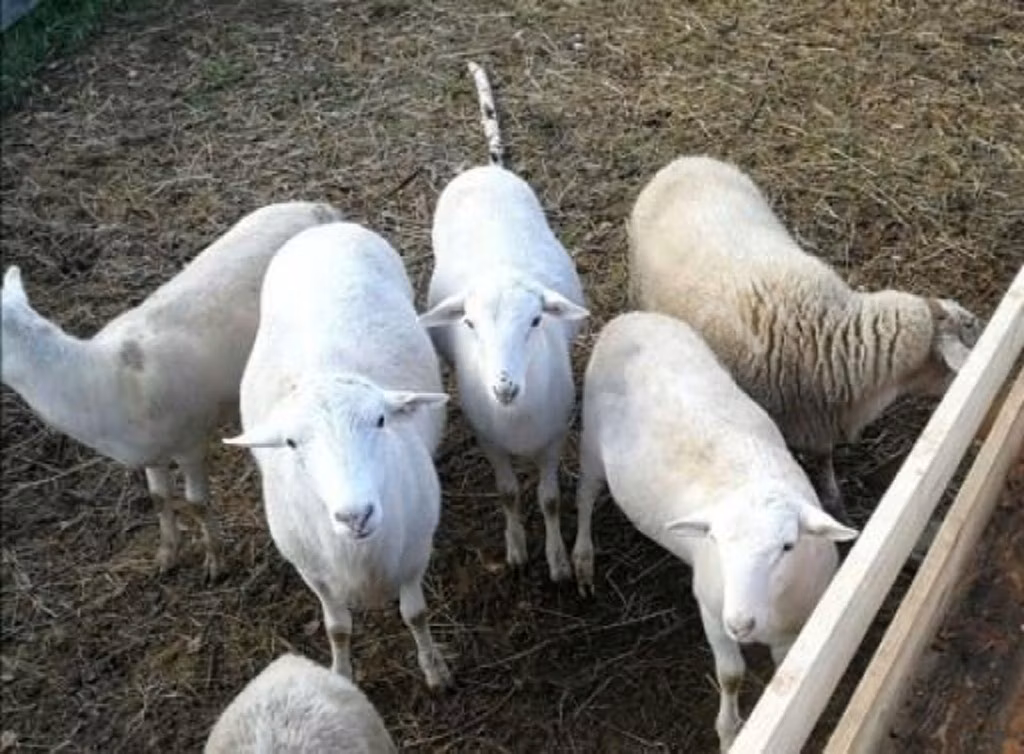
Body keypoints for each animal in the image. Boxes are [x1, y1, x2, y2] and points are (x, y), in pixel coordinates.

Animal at [0, 201, 342, 581]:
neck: (102, 380)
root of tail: (318, 209)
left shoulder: (190, 443)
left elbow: (197, 503)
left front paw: (215, 562)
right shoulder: (151, 452)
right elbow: (158, 498)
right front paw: (167, 554)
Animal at [224, 221, 452, 689]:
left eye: (381, 420)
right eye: (291, 443)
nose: (355, 516)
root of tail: (325, 228)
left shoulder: (416, 551)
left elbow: (416, 614)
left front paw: (435, 670)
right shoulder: (311, 571)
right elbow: (338, 628)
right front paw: (342, 675)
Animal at [419, 61, 589, 582]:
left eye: (535, 321)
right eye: (469, 325)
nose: (505, 387)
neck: (517, 420)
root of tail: (486, 169)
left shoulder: (555, 435)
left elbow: (550, 499)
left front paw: (558, 562)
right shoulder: (488, 438)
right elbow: (510, 493)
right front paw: (515, 550)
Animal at [572, 311, 858, 751]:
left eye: (788, 546)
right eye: (717, 542)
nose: (740, 624)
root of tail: (631, 317)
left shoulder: (793, 628)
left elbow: (780, 678)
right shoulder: (711, 609)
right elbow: (731, 675)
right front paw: (729, 732)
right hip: (589, 441)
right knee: (584, 495)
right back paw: (582, 559)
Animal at [628, 155, 982, 519]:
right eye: (969, 331)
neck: (834, 336)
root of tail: (684, 161)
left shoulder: (818, 423)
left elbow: (824, 460)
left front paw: (835, 499)